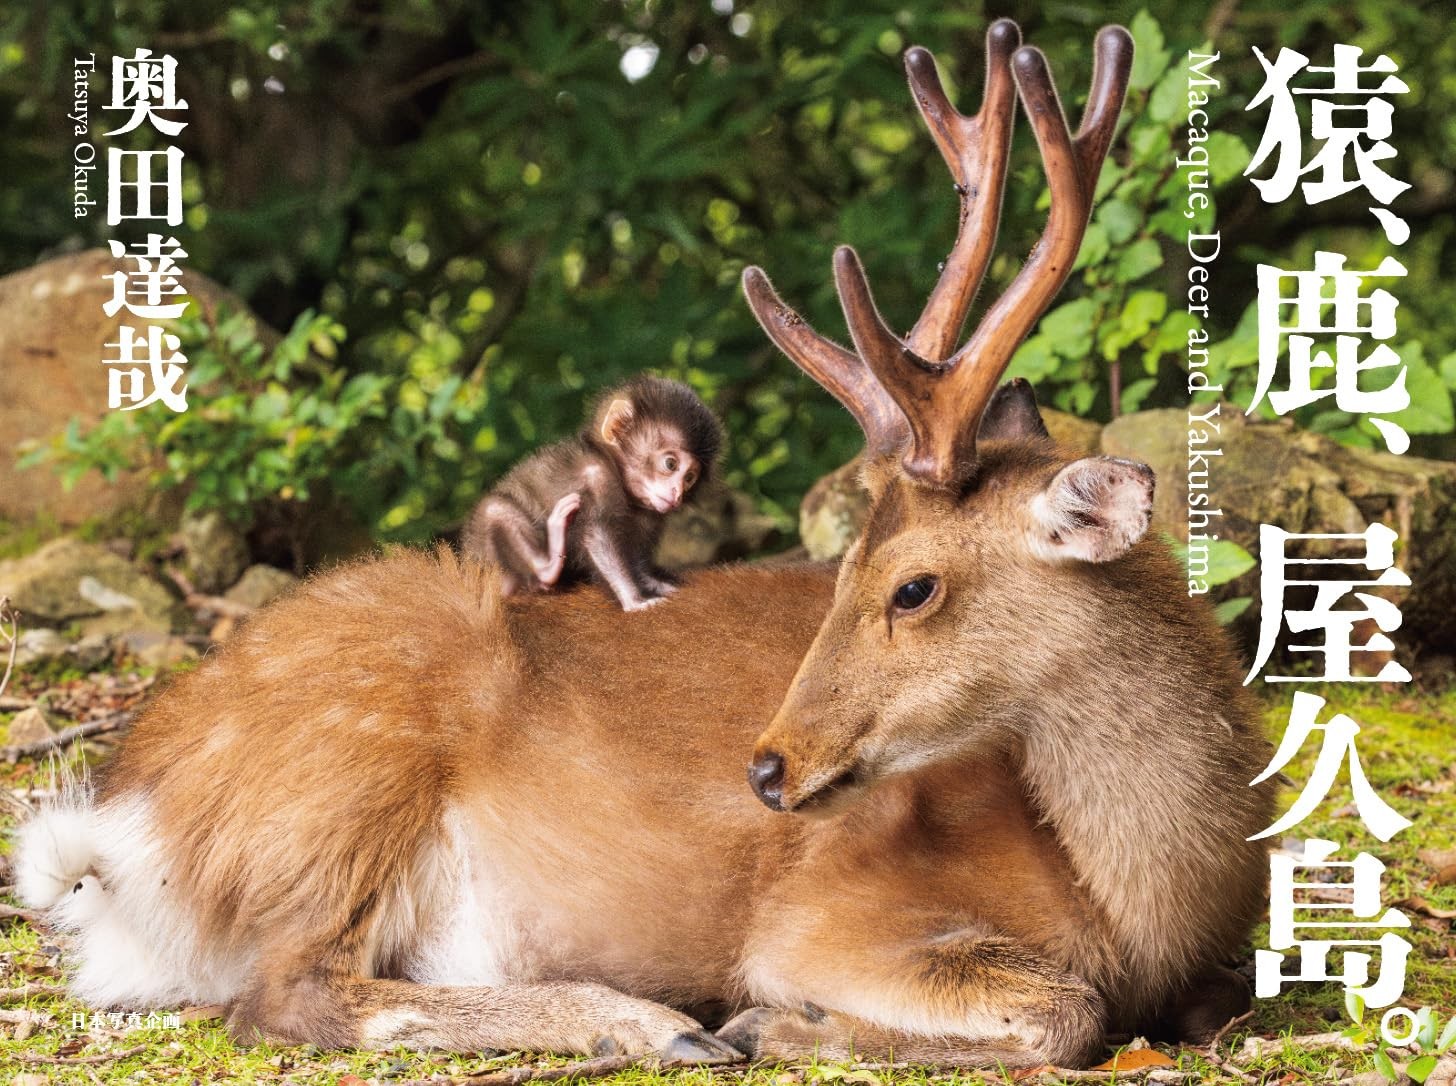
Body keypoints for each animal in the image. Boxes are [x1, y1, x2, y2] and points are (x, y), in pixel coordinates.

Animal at [461, 375, 722, 611]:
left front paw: (656, 584)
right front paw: (633, 600)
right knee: (494, 508)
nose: (677, 494)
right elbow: (597, 536)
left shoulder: (649, 513)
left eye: (689, 478)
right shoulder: (598, 478)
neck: (613, 467)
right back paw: (548, 565)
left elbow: (633, 556)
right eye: (670, 464)